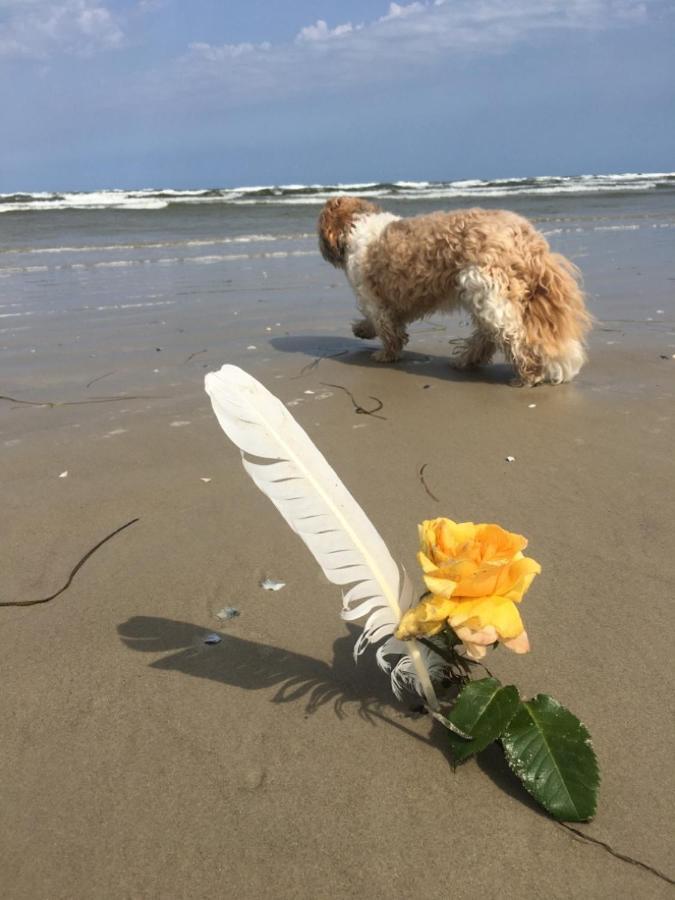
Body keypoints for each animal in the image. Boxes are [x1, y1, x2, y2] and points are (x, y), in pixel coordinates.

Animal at [320, 199, 588, 384]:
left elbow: (387, 329)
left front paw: (385, 354)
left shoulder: (372, 298)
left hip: (486, 290)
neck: (357, 225)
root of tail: (529, 239)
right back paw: (467, 360)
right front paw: (362, 330)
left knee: (514, 338)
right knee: (490, 336)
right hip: (486, 297)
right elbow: (386, 323)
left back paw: (527, 375)